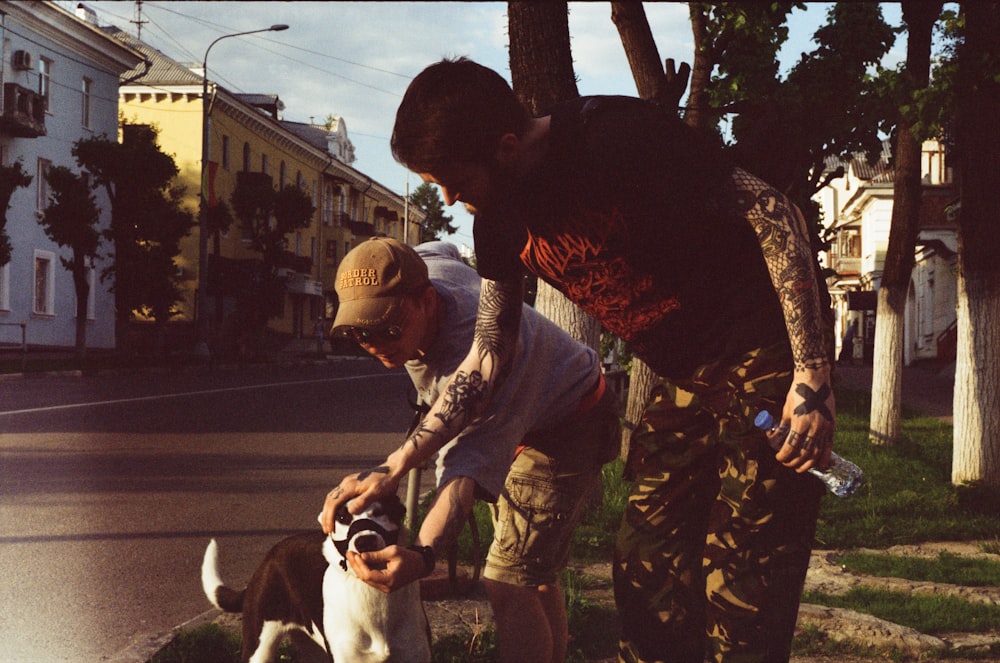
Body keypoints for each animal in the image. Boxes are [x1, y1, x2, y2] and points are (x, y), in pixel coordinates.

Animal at [201, 498, 432, 663]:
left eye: (380, 512)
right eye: (342, 517)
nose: (365, 541)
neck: (369, 591)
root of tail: (269, 557)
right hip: (258, 648)